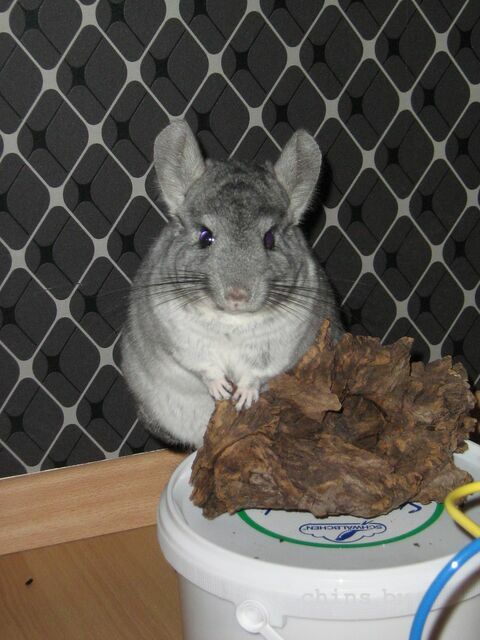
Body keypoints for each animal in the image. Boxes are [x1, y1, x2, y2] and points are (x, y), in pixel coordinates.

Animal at [121, 120, 343, 449]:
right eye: (205, 236)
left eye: (270, 239)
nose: (237, 295)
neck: (232, 320)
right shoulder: (179, 339)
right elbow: (203, 366)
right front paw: (221, 389)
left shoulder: (282, 346)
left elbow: (258, 372)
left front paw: (243, 396)